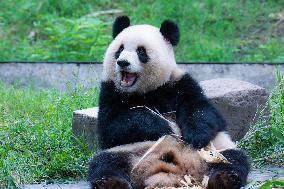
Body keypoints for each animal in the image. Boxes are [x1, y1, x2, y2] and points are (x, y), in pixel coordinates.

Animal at [88, 16, 248, 189]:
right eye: (120, 49)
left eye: (141, 51)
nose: (122, 62)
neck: (146, 90)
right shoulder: (110, 91)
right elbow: (111, 126)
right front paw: (163, 126)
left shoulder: (179, 84)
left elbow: (204, 111)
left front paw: (195, 136)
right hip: (124, 152)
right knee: (104, 163)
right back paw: (109, 182)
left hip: (216, 149)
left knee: (233, 159)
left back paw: (225, 179)